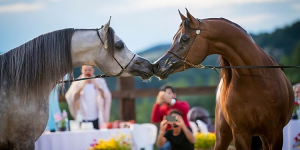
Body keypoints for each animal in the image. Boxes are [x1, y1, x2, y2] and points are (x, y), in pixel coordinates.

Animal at [154, 8, 294, 149]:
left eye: (184, 38)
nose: (157, 65)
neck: (256, 81)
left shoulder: (275, 133)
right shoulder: (241, 134)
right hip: (223, 135)